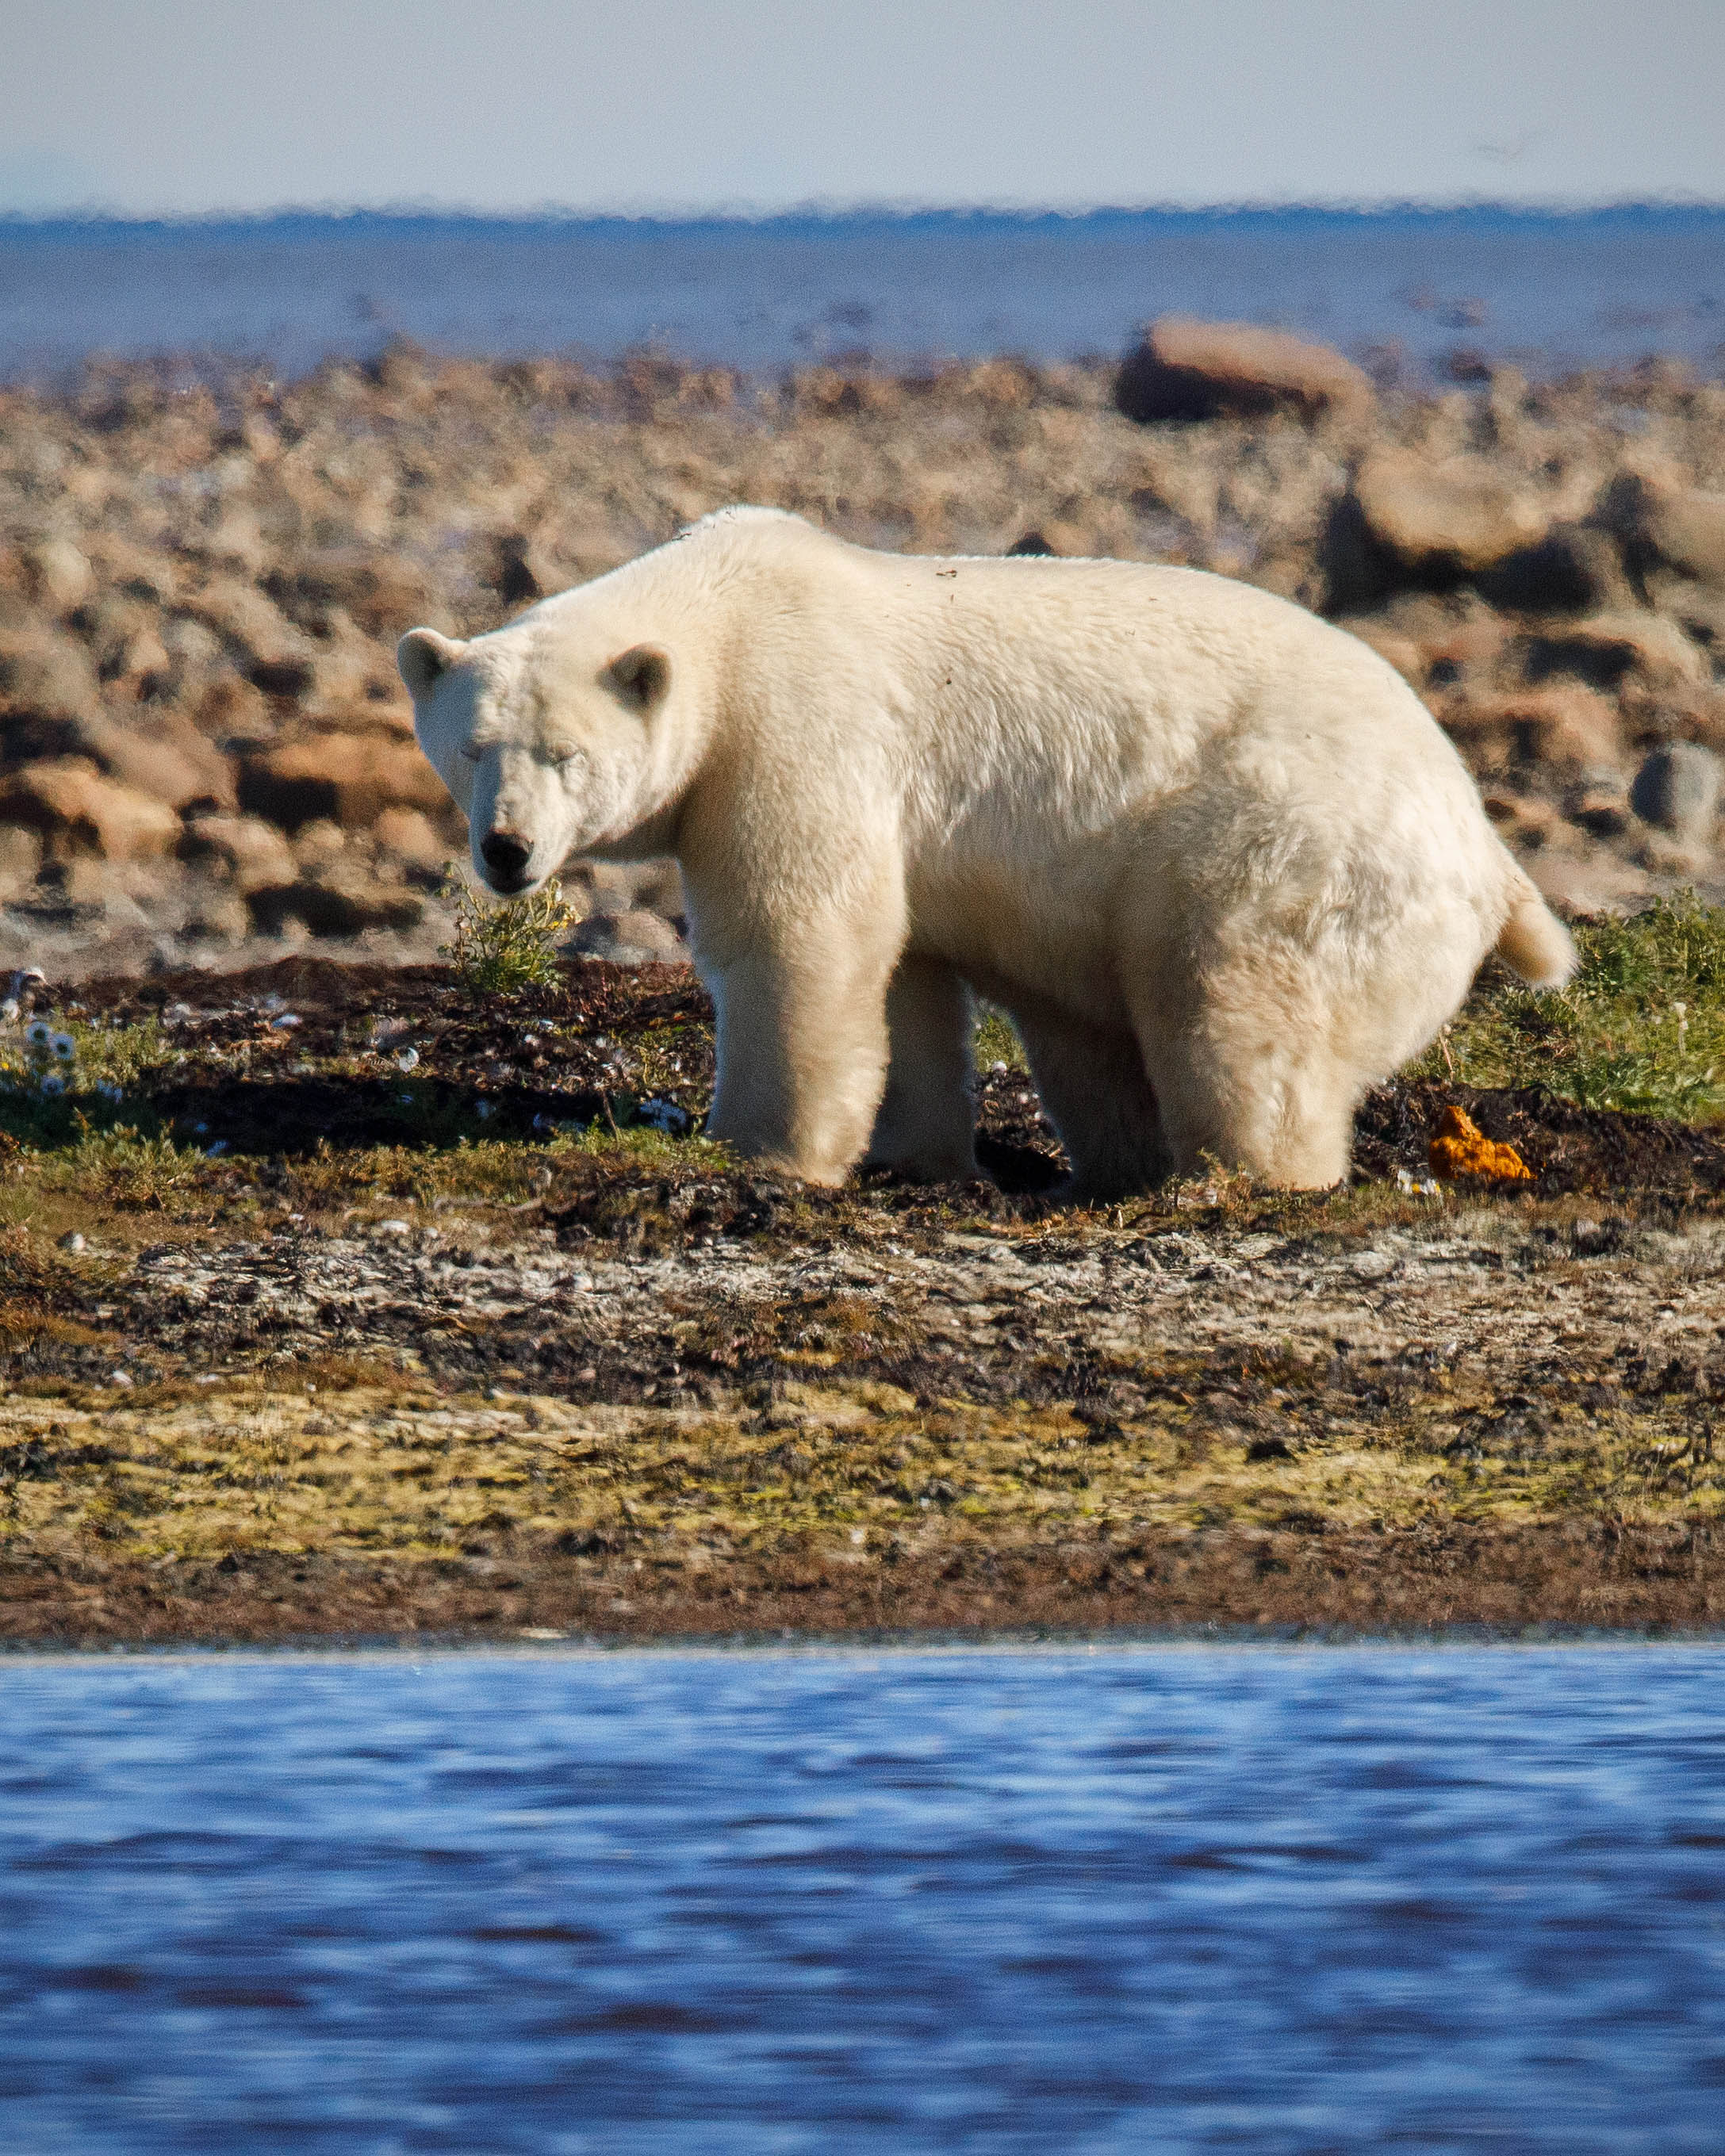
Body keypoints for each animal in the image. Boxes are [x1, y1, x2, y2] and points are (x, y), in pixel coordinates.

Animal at [405, 515, 1578, 1207]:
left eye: (565, 753)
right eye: (471, 748)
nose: (506, 849)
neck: (728, 612)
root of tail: (1488, 854)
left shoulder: (794, 729)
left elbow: (797, 933)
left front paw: (760, 1148)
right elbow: (903, 975)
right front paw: (907, 1151)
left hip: (1289, 835)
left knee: (1227, 987)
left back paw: (1230, 1174)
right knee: (1093, 1033)